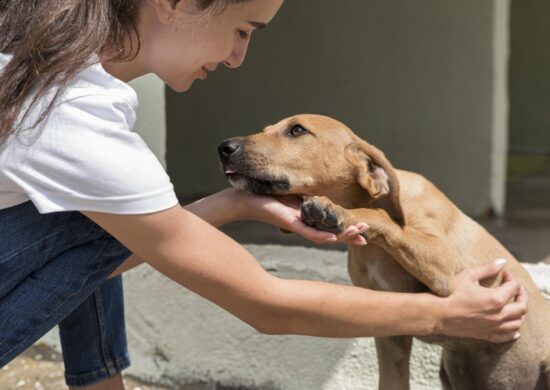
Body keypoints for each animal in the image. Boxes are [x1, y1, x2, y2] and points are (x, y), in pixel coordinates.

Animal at [218, 114, 548, 390]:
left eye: (296, 130)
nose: (224, 147)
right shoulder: (391, 334)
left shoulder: (445, 268)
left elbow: (379, 218)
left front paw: (336, 212)